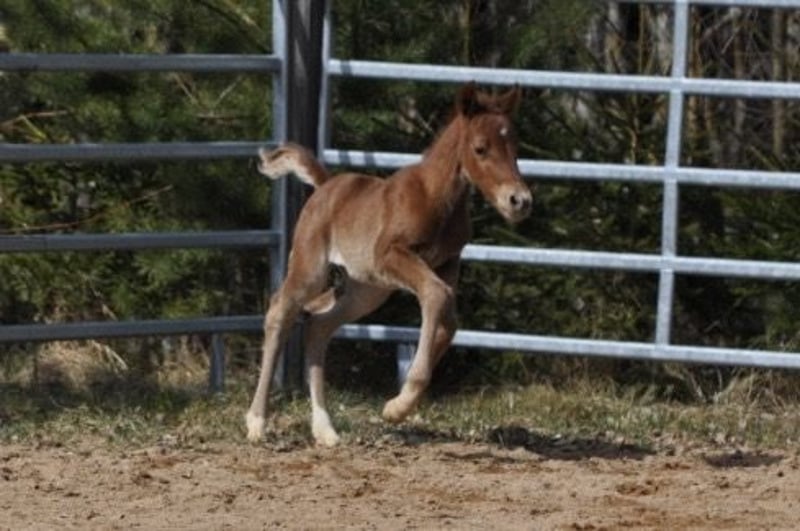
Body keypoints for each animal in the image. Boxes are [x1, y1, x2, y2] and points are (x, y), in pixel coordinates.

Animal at [246, 83, 532, 446]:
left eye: (515, 145)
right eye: (480, 148)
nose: (519, 201)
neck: (437, 197)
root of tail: (326, 186)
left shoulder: (447, 262)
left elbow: (449, 320)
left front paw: (400, 402)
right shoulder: (391, 254)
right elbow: (436, 296)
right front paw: (399, 406)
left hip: (366, 289)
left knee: (320, 326)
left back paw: (325, 429)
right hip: (312, 268)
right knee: (279, 312)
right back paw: (257, 421)